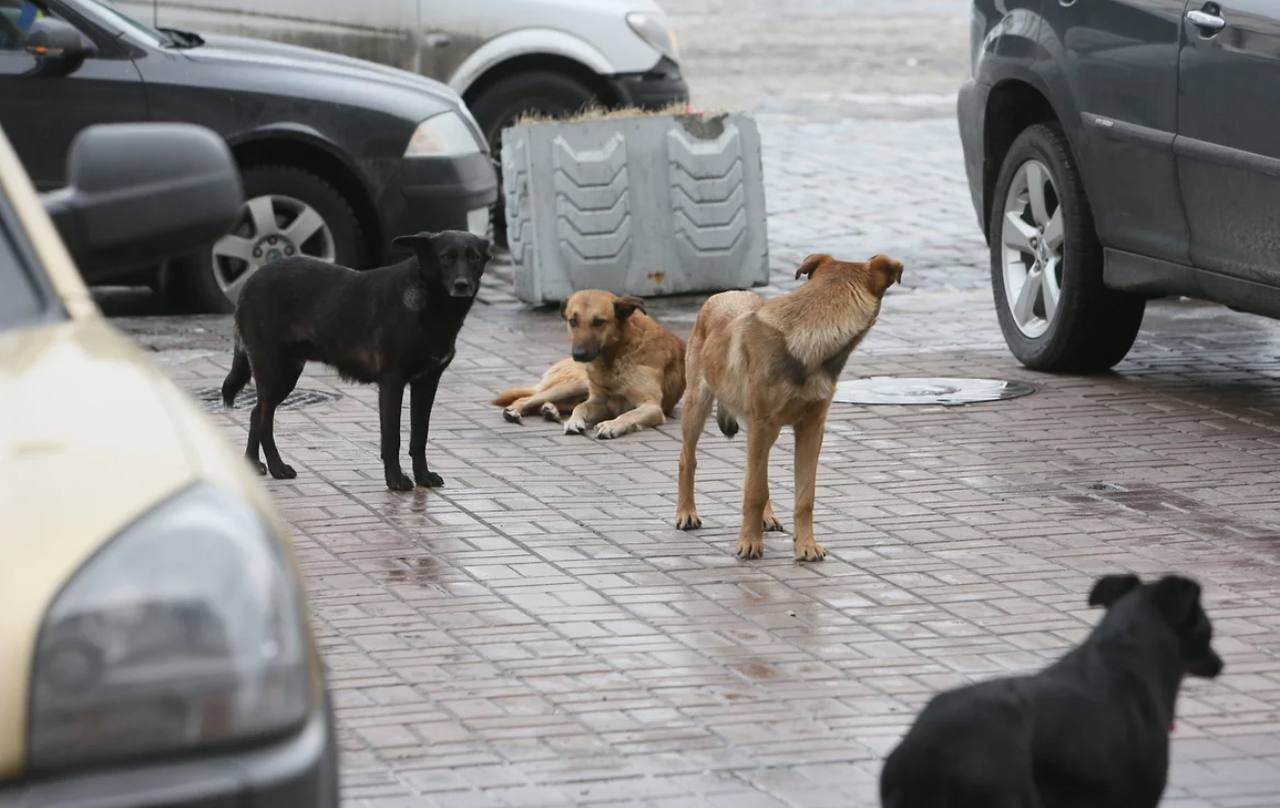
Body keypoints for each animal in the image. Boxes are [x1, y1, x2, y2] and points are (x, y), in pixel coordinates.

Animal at [222, 230, 486, 489]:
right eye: (446, 257)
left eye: (474, 257)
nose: (462, 285)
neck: (432, 305)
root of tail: (250, 280)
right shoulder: (392, 382)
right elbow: (392, 437)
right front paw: (395, 480)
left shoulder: (427, 383)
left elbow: (420, 436)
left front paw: (423, 476)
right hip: (272, 372)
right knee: (264, 421)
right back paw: (277, 468)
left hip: (285, 376)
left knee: (256, 413)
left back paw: (253, 464)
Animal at [491, 290, 691, 440]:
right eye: (573, 321)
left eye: (599, 322)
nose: (578, 355)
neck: (616, 354)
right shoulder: (599, 401)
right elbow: (581, 407)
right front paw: (574, 421)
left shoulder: (651, 406)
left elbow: (628, 414)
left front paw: (611, 425)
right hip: (575, 384)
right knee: (528, 399)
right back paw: (518, 410)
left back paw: (550, 410)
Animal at [675, 253, 906, 563]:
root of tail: (727, 293)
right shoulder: (762, 426)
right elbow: (753, 492)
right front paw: (749, 542)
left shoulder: (810, 429)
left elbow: (803, 496)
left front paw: (806, 545)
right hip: (697, 406)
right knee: (688, 460)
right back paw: (686, 513)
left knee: (759, 475)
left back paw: (766, 517)